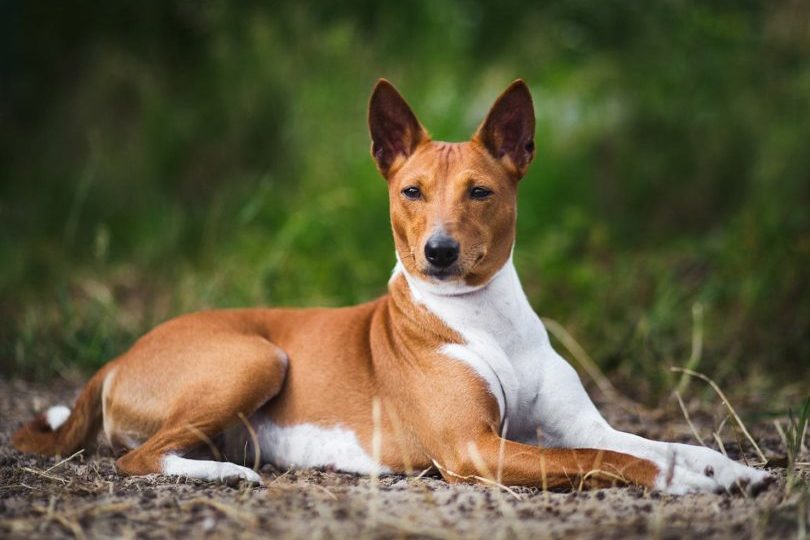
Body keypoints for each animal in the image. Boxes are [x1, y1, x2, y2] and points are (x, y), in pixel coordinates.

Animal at [12, 79, 772, 494]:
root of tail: (122, 355)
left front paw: (727, 470)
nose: (438, 252)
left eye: (480, 192)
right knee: (136, 458)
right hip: (257, 356)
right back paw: (230, 478)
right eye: (412, 191)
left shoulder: (578, 423)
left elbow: (652, 443)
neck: (485, 321)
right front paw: (686, 485)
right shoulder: (475, 449)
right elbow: (606, 459)